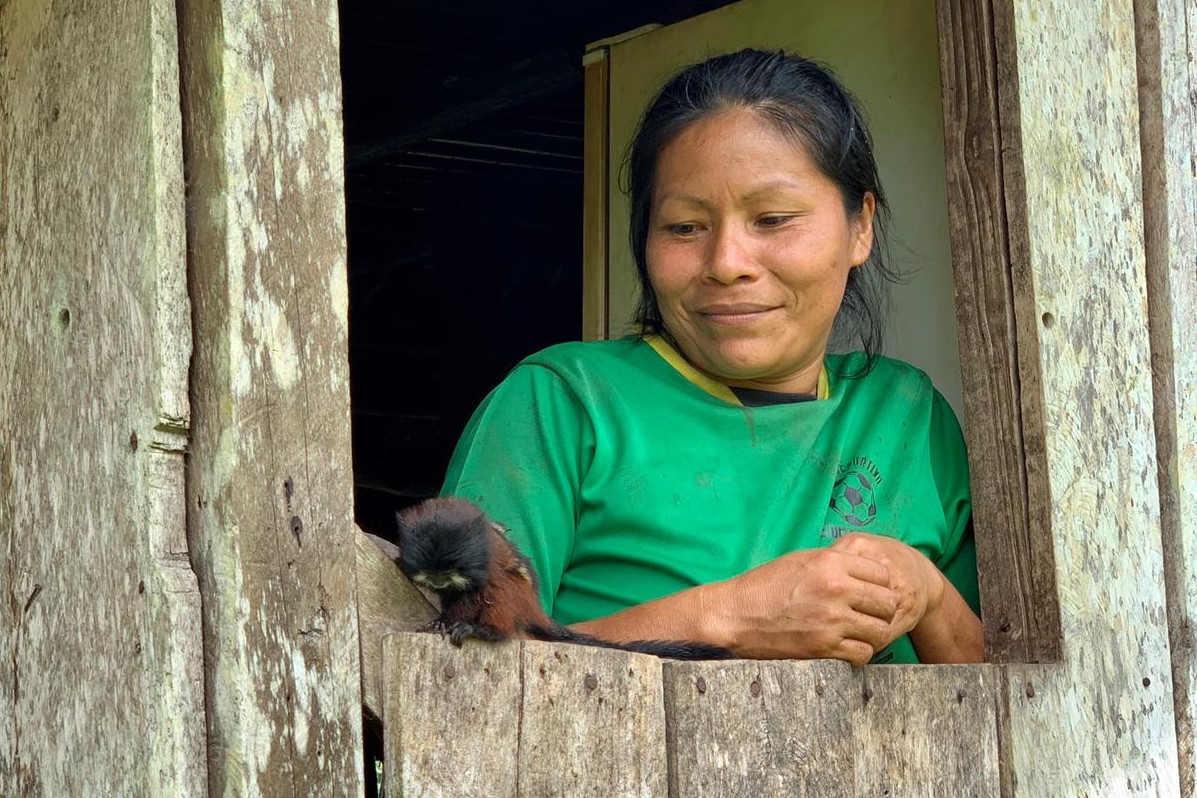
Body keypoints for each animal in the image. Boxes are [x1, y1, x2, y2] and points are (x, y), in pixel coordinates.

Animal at [394, 497, 732, 660]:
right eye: (431, 572)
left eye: (449, 569)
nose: (438, 581)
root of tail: (535, 610)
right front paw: (440, 620)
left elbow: (485, 587)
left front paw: (458, 623)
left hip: (519, 599)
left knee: (501, 590)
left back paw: (487, 631)